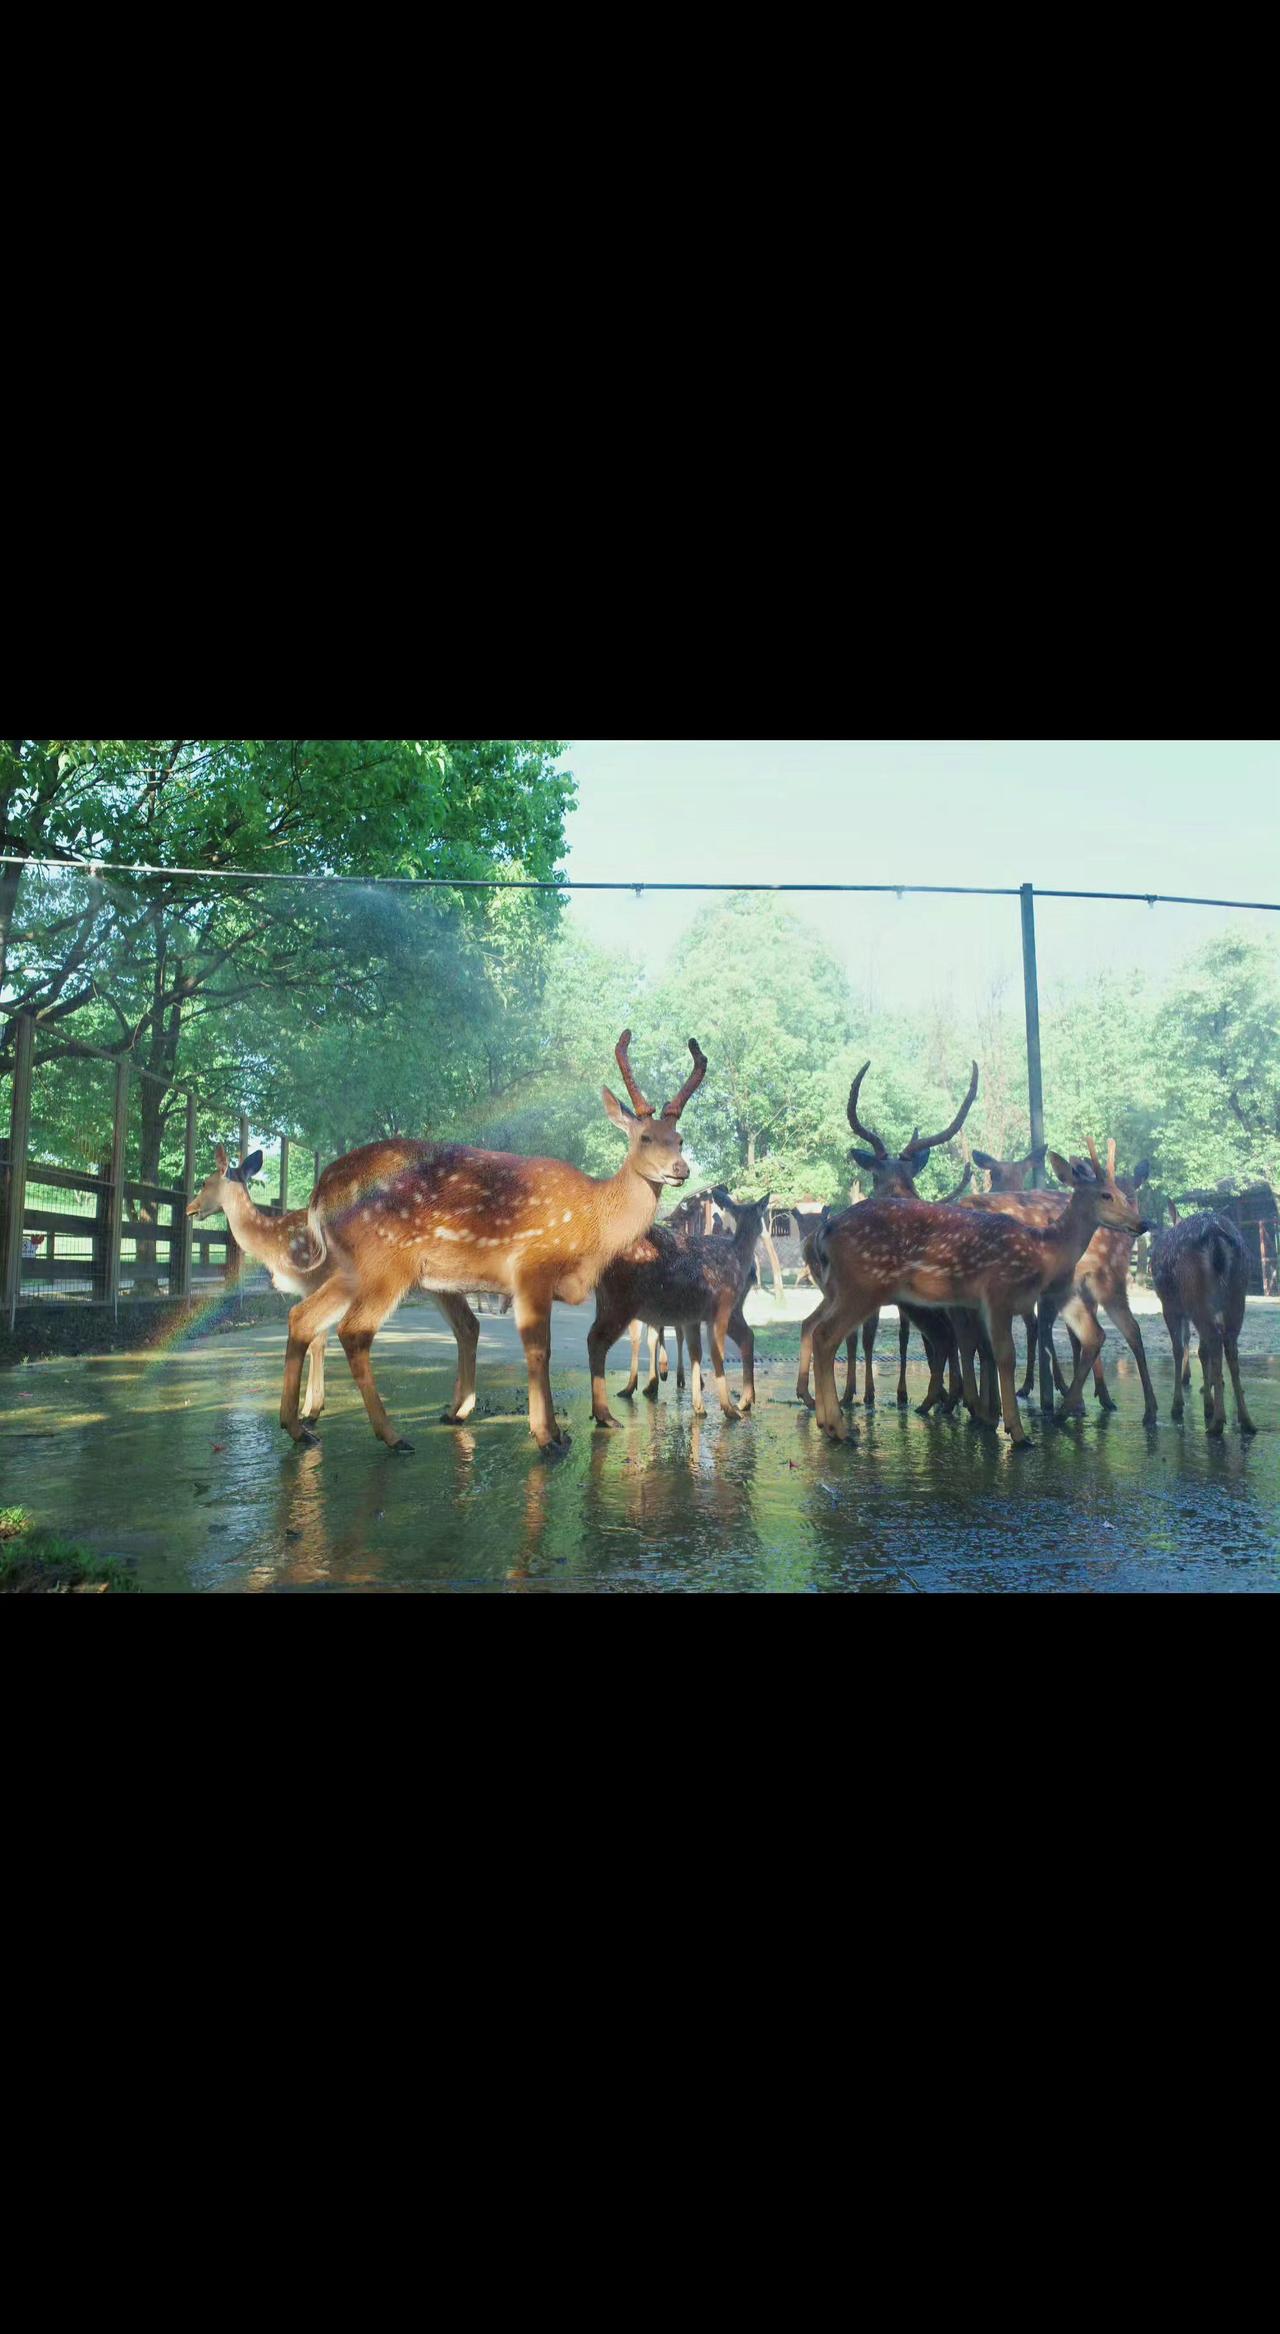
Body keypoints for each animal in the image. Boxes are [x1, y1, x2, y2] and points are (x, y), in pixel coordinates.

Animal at [187, 1143, 486, 1427]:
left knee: (466, 1325)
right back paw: (456, 1411)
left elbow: (317, 1341)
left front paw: (310, 1412)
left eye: (204, 1182)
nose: (190, 1209)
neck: (276, 1244)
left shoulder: (315, 1279)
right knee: (467, 1325)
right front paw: (310, 1410)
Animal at [277, 1030, 708, 1453]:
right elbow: (539, 1348)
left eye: (680, 1138)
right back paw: (391, 1435)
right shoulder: (533, 1267)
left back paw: (297, 1427)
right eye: (646, 1137)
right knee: (353, 1331)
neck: (592, 1222)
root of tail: (320, 1192)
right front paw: (548, 1436)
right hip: (385, 1261)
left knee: (303, 1316)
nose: (680, 1169)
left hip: (354, 1266)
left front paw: (556, 1431)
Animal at [589, 1194, 772, 1426]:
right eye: (762, 1215)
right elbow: (716, 1354)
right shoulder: (721, 1308)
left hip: (608, 1302)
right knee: (597, 1340)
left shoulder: (693, 1317)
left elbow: (696, 1352)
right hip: (621, 1302)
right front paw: (727, 1409)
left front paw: (699, 1406)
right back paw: (605, 1414)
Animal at [807, 1138, 1148, 1445]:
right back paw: (839, 1427)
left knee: (816, 1329)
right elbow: (1005, 1355)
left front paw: (993, 1416)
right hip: (863, 1285)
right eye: (1106, 1195)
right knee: (825, 1334)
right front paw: (1017, 1431)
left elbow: (989, 1351)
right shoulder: (998, 1292)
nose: (1142, 1223)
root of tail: (825, 1230)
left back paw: (827, 1422)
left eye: (1126, 1195)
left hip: (841, 1289)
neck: (1044, 1250)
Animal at [1150, 1202, 1256, 1436]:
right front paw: (1207, 1402)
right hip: (1236, 1294)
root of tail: (1215, 1233)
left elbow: (1179, 1349)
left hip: (1195, 1294)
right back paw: (1246, 1421)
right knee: (1229, 1345)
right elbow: (1200, 1350)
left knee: (1215, 1341)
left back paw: (1217, 1422)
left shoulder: (1170, 1306)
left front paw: (1179, 1406)